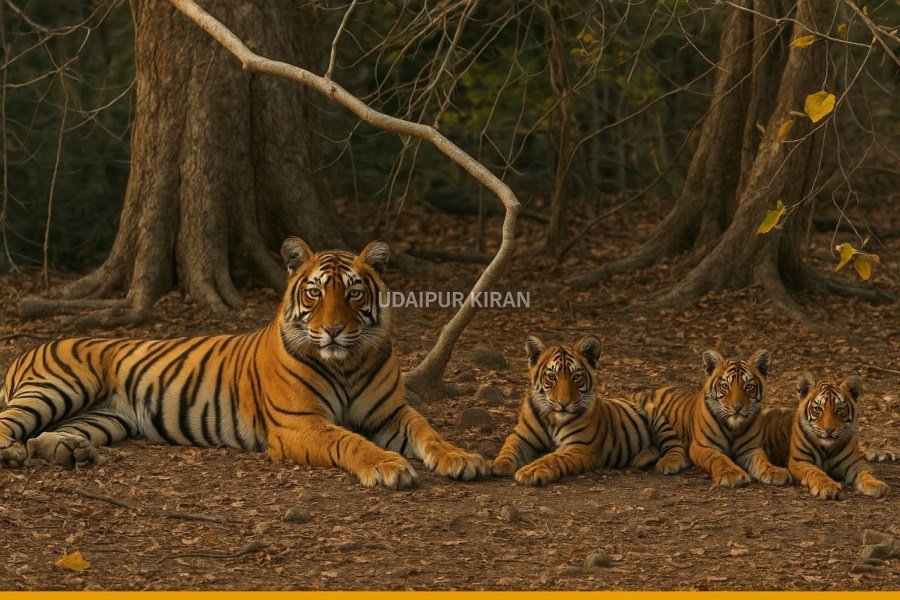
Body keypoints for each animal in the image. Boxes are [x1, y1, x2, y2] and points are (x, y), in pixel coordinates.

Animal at [0, 238, 487, 489]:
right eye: (315, 293)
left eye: (353, 293)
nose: (332, 330)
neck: (345, 362)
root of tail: (30, 347)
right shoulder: (299, 423)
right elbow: (349, 440)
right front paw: (389, 465)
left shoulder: (393, 412)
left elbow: (430, 432)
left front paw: (463, 458)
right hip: (59, 387)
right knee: (11, 424)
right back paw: (13, 453)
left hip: (103, 417)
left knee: (45, 435)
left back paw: (69, 452)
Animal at [489, 334, 683, 486]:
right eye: (551, 377)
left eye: (576, 377)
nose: (564, 403)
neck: (554, 419)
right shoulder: (521, 436)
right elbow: (509, 448)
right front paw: (499, 464)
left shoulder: (579, 447)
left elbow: (552, 458)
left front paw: (530, 471)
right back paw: (641, 459)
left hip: (657, 419)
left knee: (674, 445)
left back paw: (670, 462)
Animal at [628, 349, 791, 488]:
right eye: (725, 386)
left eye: (749, 386)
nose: (737, 407)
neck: (733, 427)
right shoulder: (702, 446)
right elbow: (718, 458)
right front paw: (731, 474)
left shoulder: (751, 449)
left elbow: (762, 460)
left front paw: (775, 471)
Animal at [757, 373, 889, 500]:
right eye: (817, 409)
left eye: (840, 409)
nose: (829, 430)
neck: (827, 448)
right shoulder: (800, 461)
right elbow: (816, 472)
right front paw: (829, 487)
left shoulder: (855, 462)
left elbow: (865, 472)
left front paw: (876, 484)